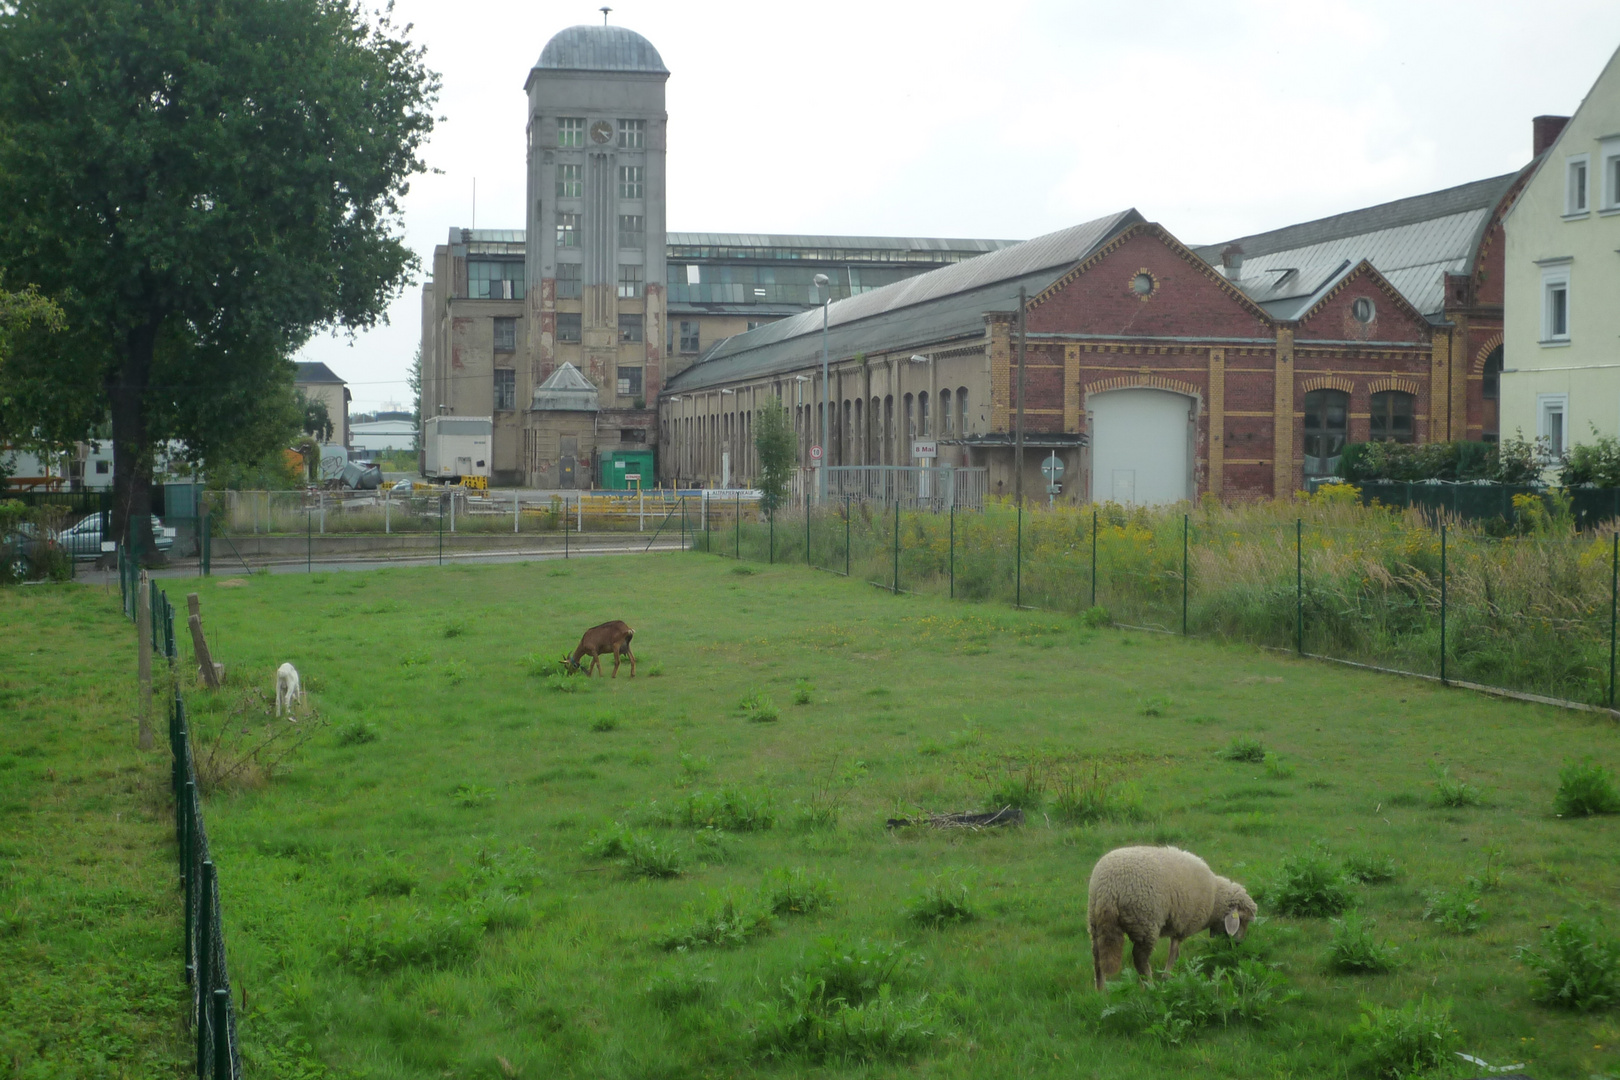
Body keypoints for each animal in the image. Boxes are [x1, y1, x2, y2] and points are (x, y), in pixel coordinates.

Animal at [1088, 848, 1263, 990]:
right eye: (1243, 919)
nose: (1239, 944)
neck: (1215, 900)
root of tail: (1108, 889)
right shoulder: (1183, 923)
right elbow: (1174, 951)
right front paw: (1167, 975)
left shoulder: (1178, 924)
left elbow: (1174, 950)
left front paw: (1169, 974)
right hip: (1146, 920)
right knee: (1140, 958)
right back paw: (1149, 986)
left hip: (1095, 920)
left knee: (1097, 957)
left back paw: (1101, 990)